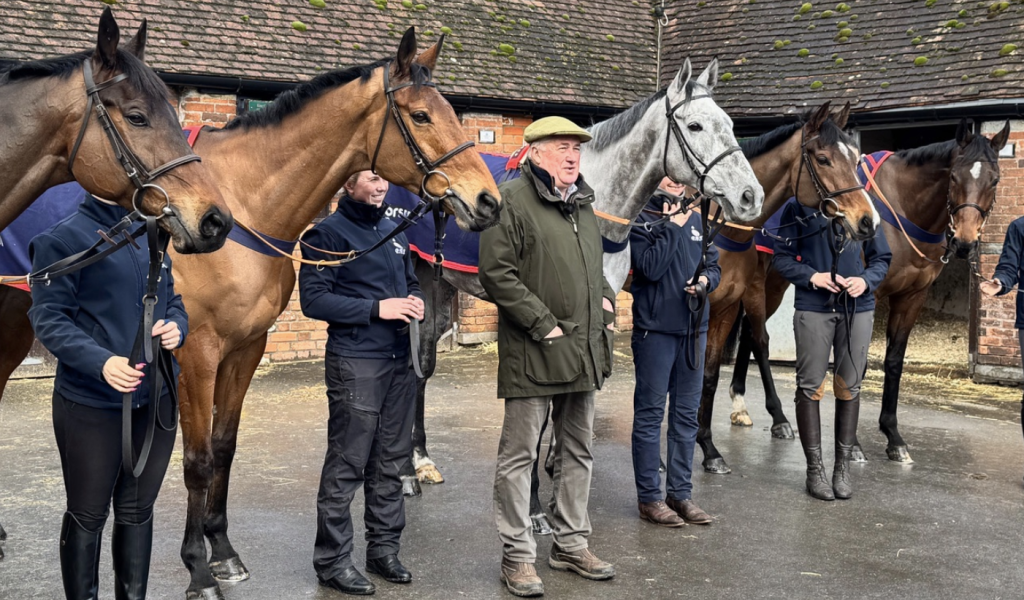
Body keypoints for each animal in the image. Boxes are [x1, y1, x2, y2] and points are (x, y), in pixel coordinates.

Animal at [692, 100, 876, 470]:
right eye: (823, 159)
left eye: (856, 160)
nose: (867, 220)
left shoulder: (726, 307)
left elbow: (709, 375)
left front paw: (708, 448)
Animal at [729, 117, 1007, 462]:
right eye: (954, 176)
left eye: (994, 180)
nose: (965, 243)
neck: (902, 205)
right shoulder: (865, 294)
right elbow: (855, 363)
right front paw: (854, 445)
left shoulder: (912, 297)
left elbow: (894, 361)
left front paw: (893, 436)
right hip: (762, 281)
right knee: (758, 338)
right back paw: (776, 415)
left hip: (775, 282)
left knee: (749, 335)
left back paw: (744, 406)